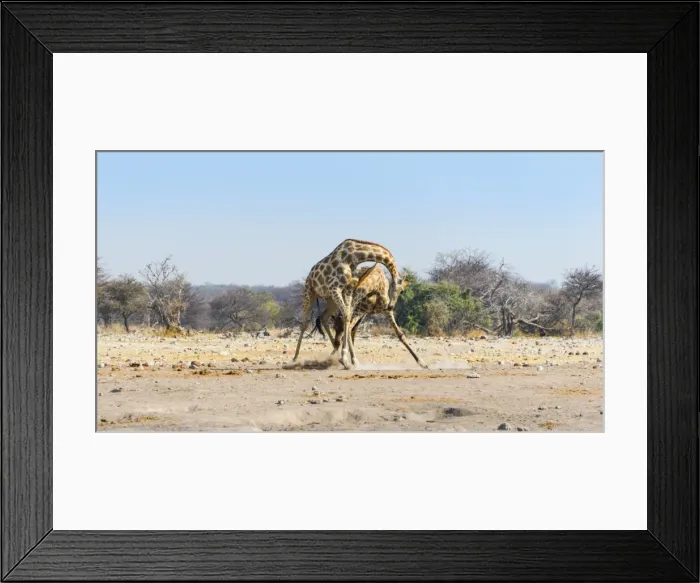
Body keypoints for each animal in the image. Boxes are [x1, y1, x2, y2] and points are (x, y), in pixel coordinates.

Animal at [292, 239, 403, 368]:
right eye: (399, 289)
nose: (391, 306)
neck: (353, 258)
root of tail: (310, 273)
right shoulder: (334, 287)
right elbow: (346, 315)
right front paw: (345, 358)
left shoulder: (348, 289)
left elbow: (348, 317)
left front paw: (347, 359)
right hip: (309, 291)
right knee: (304, 323)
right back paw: (295, 358)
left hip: (330, 299)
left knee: (324, 318)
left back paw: (335, 349)